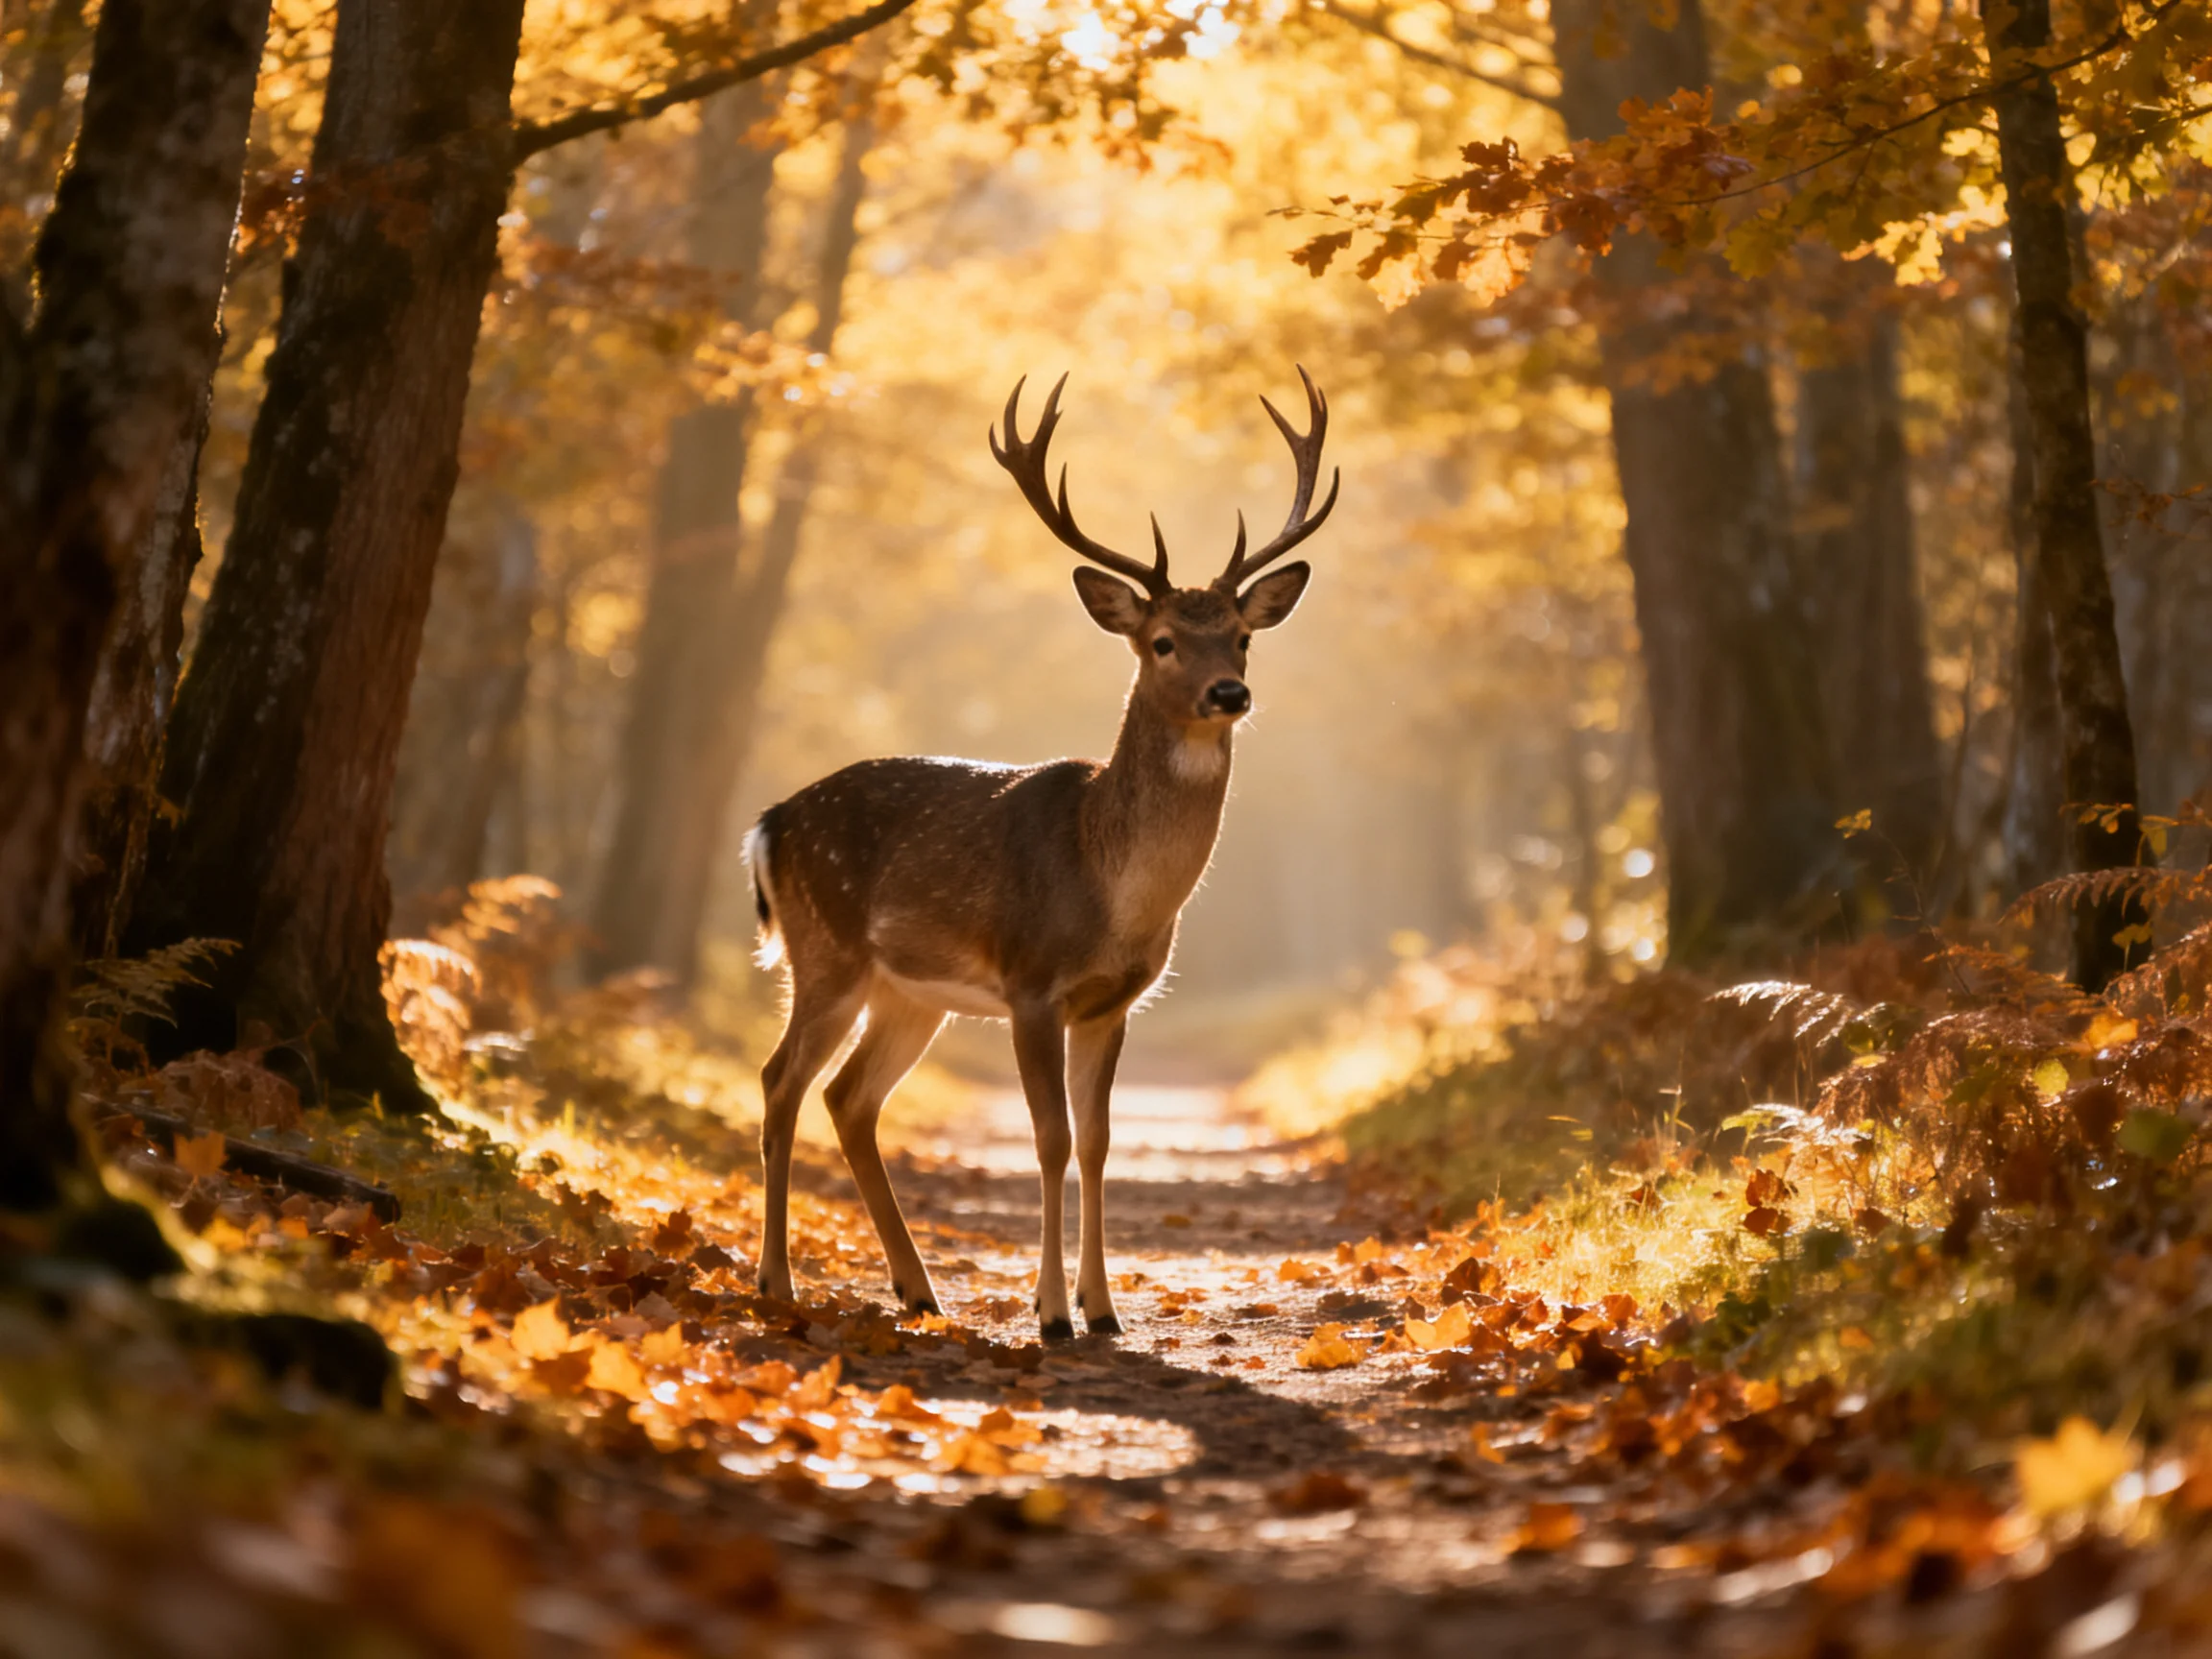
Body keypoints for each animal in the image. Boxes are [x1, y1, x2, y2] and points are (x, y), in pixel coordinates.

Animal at [743, 368, 1339, 1339]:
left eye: (1243, 636)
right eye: (1162, 641)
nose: (1230, 692)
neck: (1113, 890)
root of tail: (771, 822)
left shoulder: (1112, 1003)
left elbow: (1098, 1143)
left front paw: (1103, 1310)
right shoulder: (1030, 983)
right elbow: (1050, 1139)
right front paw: (1054, 1313)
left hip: (909, 991)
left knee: (849, 1098)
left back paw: (918, 1288)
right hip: (824, 950)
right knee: (780, 1082)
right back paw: (779, 1284)